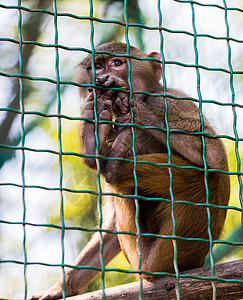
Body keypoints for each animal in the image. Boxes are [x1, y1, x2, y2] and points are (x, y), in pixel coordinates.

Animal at [30, 41, 230, 298]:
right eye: (97, 65)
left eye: (117, 63)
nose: (104, 76)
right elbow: (112, 223)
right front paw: (62, 287)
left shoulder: (172, 100)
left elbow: (214, 157)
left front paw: (131, 101)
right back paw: (99, 137)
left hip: (172, 247)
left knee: (206, 177)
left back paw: (118, 162)